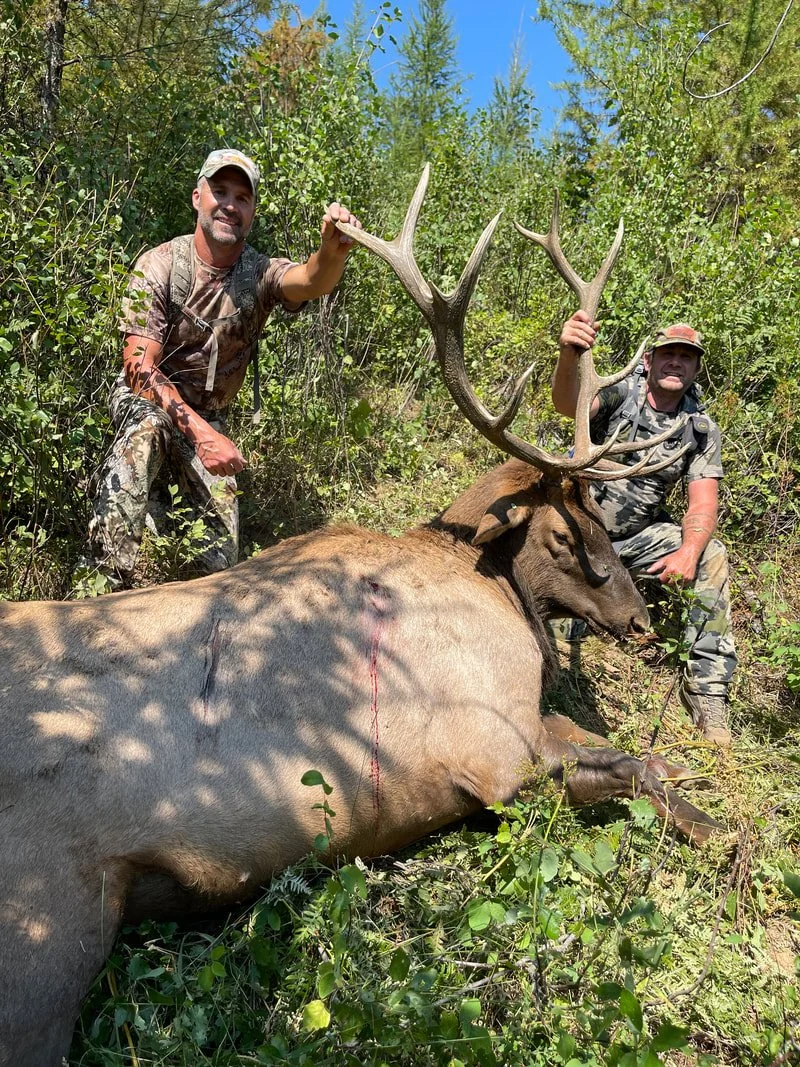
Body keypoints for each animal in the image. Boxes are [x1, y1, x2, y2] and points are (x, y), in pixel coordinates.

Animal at [0, 167, 720, 1066]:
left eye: (602, 519)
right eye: (565, 531)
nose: (638, 620)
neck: (494, 588)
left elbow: (642, 759)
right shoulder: (489, 755)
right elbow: (627, 767)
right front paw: (716, 831)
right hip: (48, 926)